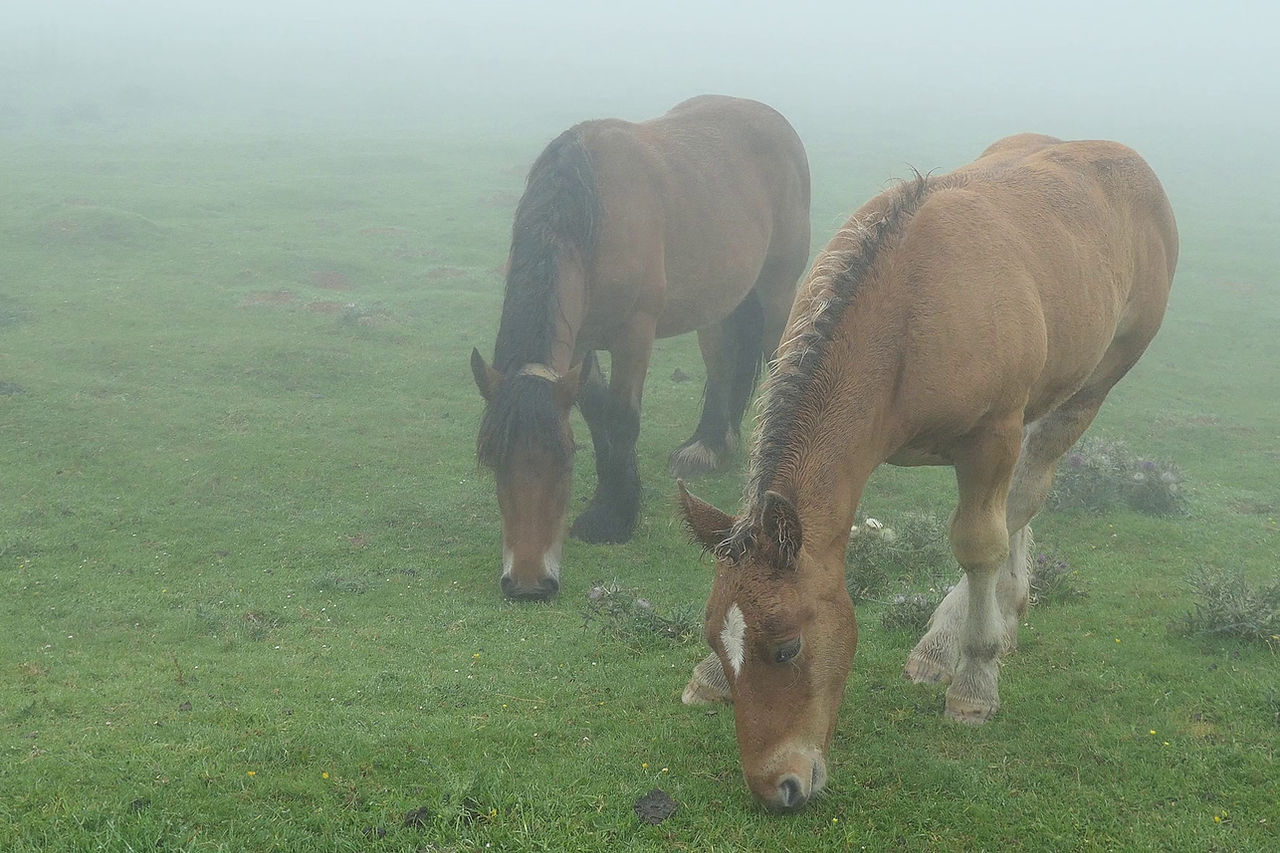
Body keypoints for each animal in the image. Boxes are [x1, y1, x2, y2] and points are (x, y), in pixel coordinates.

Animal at [471, 95, 811, 601]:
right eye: (494, 459)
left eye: (566, 459)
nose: (529, 584)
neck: (592, 215)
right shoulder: (581, 344)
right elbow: (598, 415)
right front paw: (611, 500)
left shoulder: (634, 334)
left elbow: (622, 418)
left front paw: (613, 518)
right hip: (717, 304)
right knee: (721, 365)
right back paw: (708, 446)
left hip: (777, 291)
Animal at [678, 133, 1178, 811]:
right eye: (713, 638)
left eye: (787, 647)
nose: (776, 786)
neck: (910, 309)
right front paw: (707, 677)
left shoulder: (992, 435)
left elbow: (979, 542)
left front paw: (974, 680)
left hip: (1094, 384)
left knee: (1026, 491)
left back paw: (955, 639)